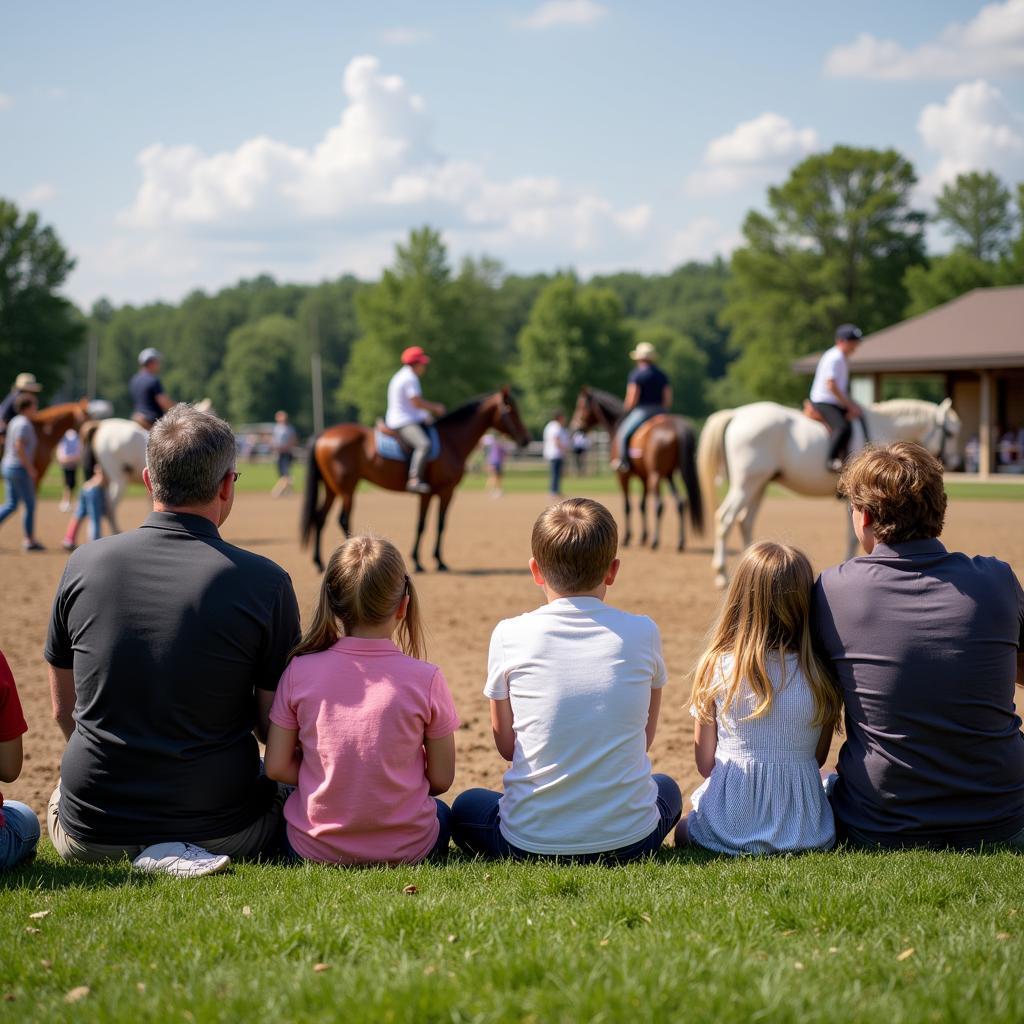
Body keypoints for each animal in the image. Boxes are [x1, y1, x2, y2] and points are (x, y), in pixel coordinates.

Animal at [301, 387, 528, 573]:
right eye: (511, 410)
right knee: (343, 520)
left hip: (332, 489)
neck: (450, 441)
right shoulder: (445, 491)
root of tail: (323, 434)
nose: (526, 439)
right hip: (347, 489)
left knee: (320, 518)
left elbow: (422, 524)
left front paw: (420, 561)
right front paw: (435, 562)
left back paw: (319, 563)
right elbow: (437, 525)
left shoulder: (427, 494)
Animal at [569, 385, 704, 552]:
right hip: (669, 475)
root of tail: (675, 426)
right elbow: (642, 505)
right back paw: (680, 542)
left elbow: (628, 505)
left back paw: (655, 541)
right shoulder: (643, 477)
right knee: (680, 503)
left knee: (659, 505)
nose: (575, 427)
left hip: (656, 476)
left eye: (581, 405)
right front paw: (643, 537)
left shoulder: (623, 476)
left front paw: (627, 538)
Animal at [696, 399, 958, 593]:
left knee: (745, 521)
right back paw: (721, 574)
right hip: (746, 484)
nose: (955, 462)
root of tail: (737, 414)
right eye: (951, 432)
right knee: (725, 519)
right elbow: (852, 537)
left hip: (758, 485)